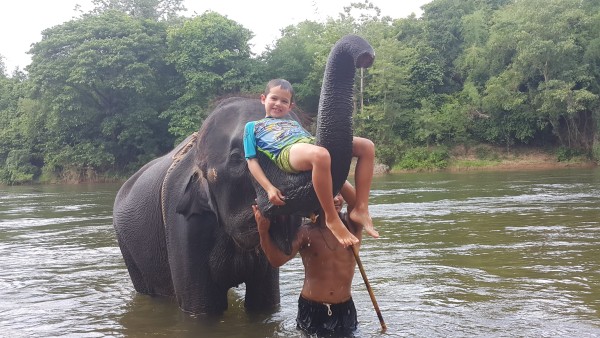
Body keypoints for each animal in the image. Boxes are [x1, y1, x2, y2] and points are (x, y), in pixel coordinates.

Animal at [112, 34, 376, 314]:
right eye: (237, 158)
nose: (366, 56)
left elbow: (264, 303)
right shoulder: (182, 222)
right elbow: (203, 309)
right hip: (127, 246)